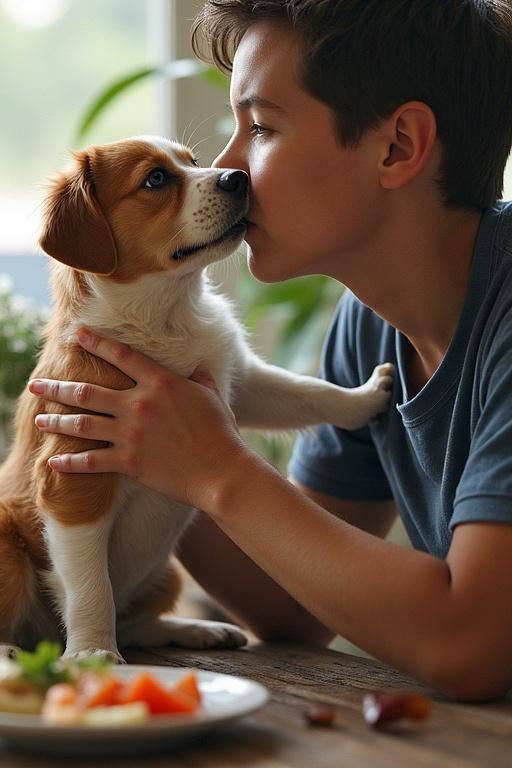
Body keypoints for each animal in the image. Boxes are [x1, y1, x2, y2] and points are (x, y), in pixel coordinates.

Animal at [0, 136, 394, 660]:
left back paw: (197, 629)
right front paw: (92, 653)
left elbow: (303, 392)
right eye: (155, 179)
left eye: (192, 162)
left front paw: (363, 398)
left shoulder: (237, 383)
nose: (238, 178)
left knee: (137, 621)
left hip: (166, 572)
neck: (166, 315)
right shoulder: (73, 479)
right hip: (8, 547)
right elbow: (90, 587)